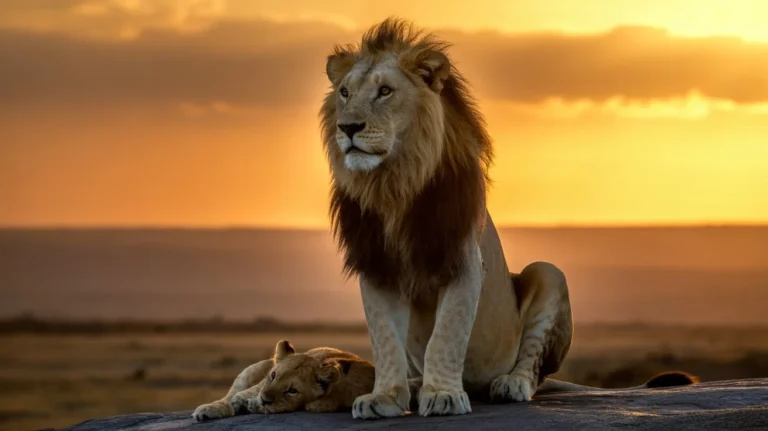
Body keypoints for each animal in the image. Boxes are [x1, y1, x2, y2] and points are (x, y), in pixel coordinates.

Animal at [191, 340, 375, 421]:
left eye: (292, 391)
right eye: (273, 376)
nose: (264, 400)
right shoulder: (260, 385)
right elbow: (242, 395)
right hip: (253, 369)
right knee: (232, 393)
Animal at [319, 18, 695, 420]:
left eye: (385, 91)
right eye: (344, 93)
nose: (348, 128)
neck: (393, 185)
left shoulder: (464, 260)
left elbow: (446, 335)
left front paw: (443, 394)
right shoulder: (376, 265)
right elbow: (385, 339)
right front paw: (385, 397)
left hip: (548, 273)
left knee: (533, 369)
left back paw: (509, 385)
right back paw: (416, 386)